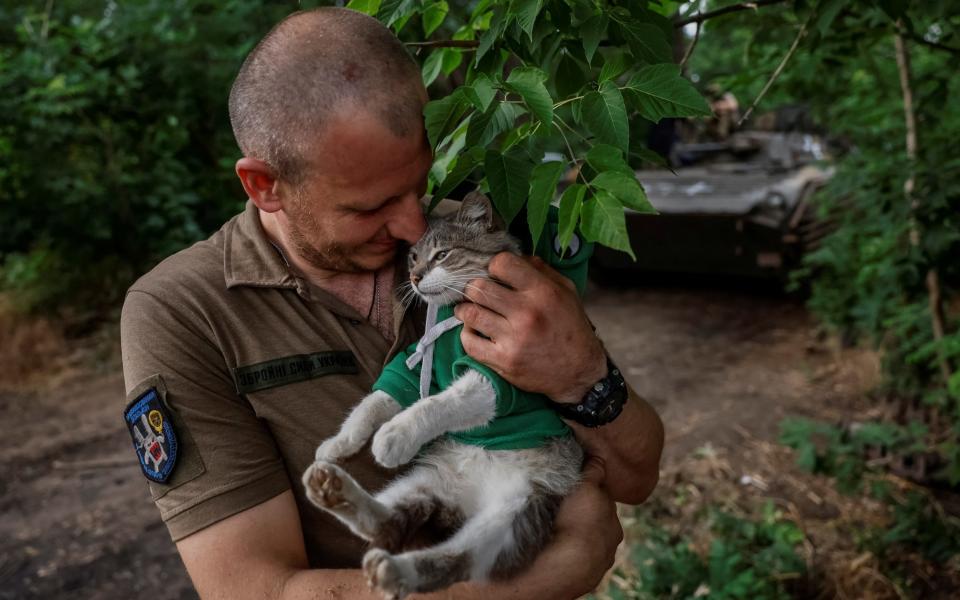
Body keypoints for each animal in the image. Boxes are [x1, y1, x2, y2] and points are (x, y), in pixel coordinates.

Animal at [304, 193, 580, 600]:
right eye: (413, 258)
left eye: (442, 255)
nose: (415, 278)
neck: (452, 319)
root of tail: (465, 504)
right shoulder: (413, 364)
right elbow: (375, 403)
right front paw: (340, 443)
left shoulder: (496, 377)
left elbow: (437, 403)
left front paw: (395, 435)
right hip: (424, 483)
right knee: (388, 522)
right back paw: (332, 489)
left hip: (509, 519)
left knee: (452, 560)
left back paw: (394, 571)